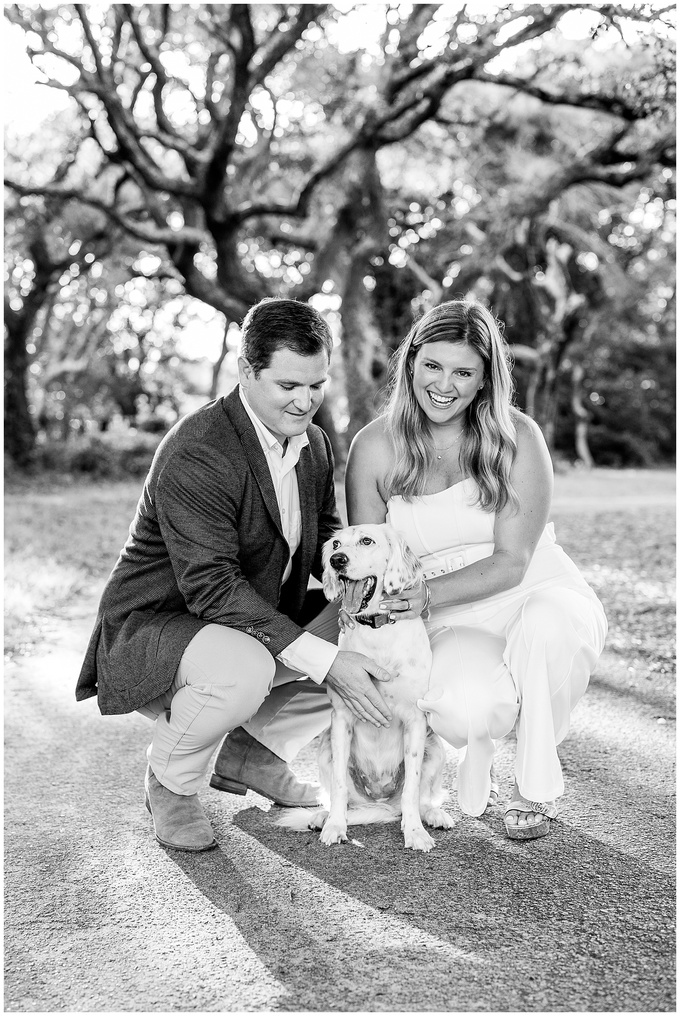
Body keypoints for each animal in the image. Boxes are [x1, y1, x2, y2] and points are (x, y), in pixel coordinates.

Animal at [276, 524, 451, 849]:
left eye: (367, 541)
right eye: (335, 544)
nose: (337, 561)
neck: (377, 634)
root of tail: (381, 802)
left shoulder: (416, 721)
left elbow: (411, 789)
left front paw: (415, 832)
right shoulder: (342, 718)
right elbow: (339, 788)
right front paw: (335, 826)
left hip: (436, 747)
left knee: (419, 798)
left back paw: (432, 815)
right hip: (325, 747)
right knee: (345, 800)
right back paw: (323, 817)